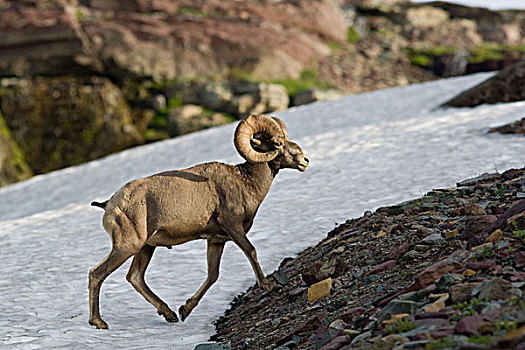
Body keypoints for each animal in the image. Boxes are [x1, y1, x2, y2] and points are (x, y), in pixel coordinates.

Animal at [88, 114, 310, 328]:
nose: (305, 160)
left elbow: (213, 275)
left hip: (146, 247)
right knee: (97, 274)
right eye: (277, 143)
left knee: (135, 277)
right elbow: (251, 251)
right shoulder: (233, 227)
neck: (245, 182)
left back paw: (170, 314)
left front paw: (185, 310)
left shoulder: (216, 240)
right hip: (128, 246)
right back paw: (98, 323)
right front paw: (267, 285)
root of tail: (110, 204)